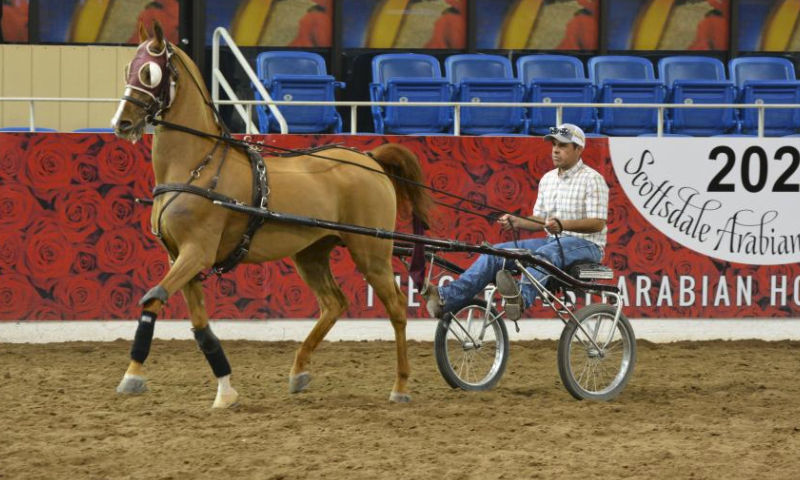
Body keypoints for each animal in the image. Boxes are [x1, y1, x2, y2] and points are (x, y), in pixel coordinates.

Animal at [110, 21, 432, 407]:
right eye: (127, 70)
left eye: (149, 72)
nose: (121, 122)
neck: (197, 166)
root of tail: (369, 158)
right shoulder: (179, 257)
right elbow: (199, 326)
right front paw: (225, 389)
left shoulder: (196, 253)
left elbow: (152, 299)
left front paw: (131, 376)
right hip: (312, 252)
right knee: (333, 303)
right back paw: (299, 372)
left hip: (372, 252)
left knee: (396, 307)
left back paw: (400, 386)